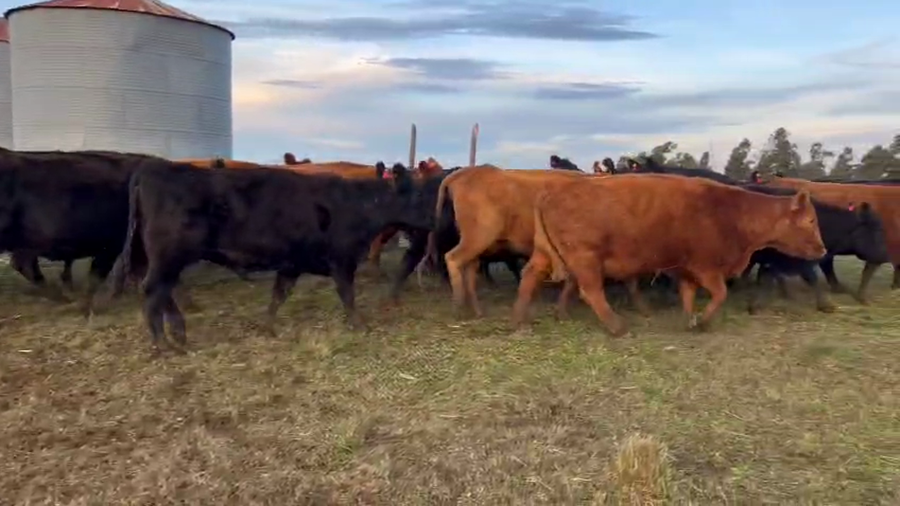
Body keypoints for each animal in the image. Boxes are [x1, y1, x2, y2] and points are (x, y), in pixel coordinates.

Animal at [108, 159, 436, 354]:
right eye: (419, 195)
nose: (436, 220)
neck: (358, 202)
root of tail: (154, 167)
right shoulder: (342, 260)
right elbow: (347, 294)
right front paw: (359, 325)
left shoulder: (292, 264)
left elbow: (279, 295)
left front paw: (267, 327)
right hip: (168, 255)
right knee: (153, 291)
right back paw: (164, 344)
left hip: (167, 259)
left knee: (163, 291)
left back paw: (178, 333)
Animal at [510, 174, 827, 336]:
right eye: (811, 220)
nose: (822, 249)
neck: (734, 212)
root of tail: (552, 190)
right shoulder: (706, 267)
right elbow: (719, 294)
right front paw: (703, 322)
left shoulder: (686, 271)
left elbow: (688, 295)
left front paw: (689, 320)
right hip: (586, 259)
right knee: (591, 291)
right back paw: (617, 326)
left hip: (545, 255)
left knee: (529, 278)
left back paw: (521, 319)